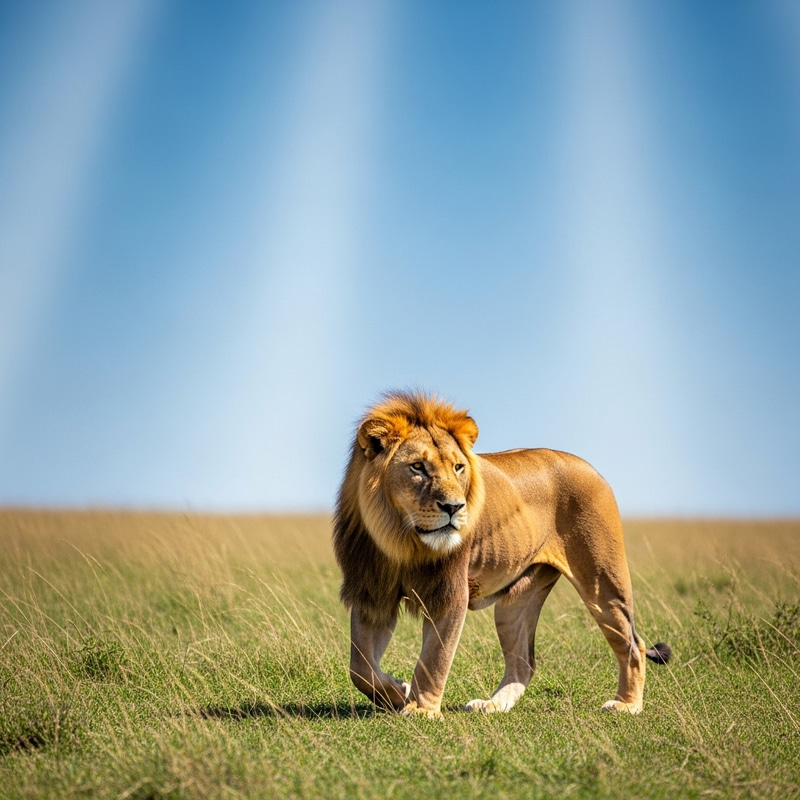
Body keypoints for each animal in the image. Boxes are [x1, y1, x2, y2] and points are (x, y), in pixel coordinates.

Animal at [333, 391, 670, 718]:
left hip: (603, 581)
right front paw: (396, 693)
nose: (454, 507)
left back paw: (627, 705)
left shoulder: (451, 593)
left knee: (633, 644)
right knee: (524, 661)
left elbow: (434, 658)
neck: (402, 540)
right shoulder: (372, 592)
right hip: (516, 602)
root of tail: (590, 467)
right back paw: (493, 705)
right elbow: (360, 667)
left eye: (458, 467)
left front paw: (421, 710)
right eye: (418, 467)